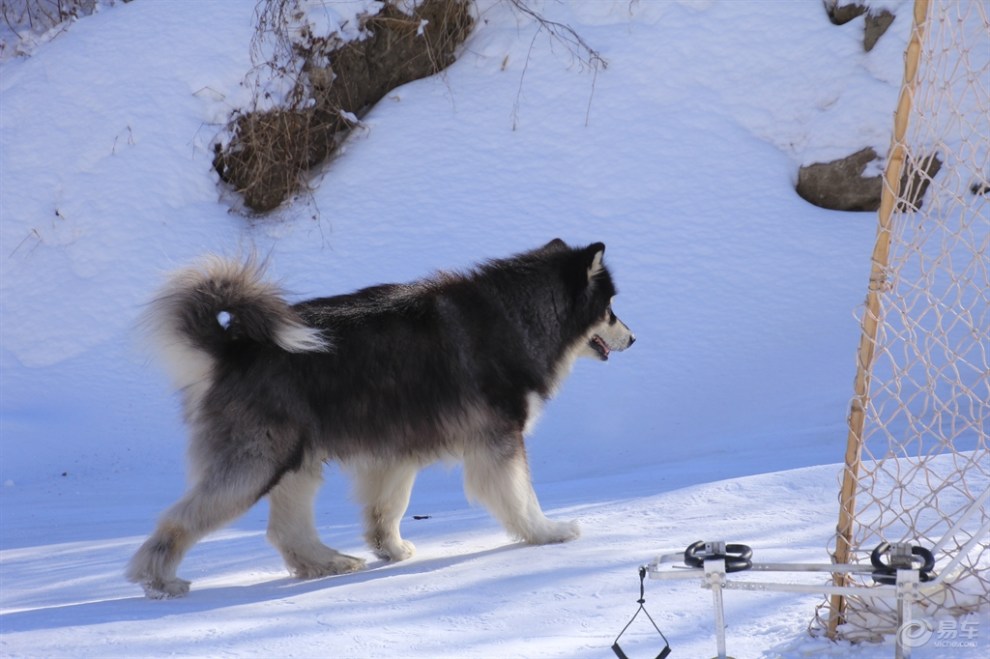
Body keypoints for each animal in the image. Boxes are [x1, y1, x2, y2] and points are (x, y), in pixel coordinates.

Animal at [126, 241, 636, 600]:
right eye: (611, 310)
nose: (633, 337)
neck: (519, 317)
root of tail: (235, 348)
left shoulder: (396, 450)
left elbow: (387, 507)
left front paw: (390, 550)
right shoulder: (499, 444)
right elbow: (522, 499)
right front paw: (549, 533)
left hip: (297, 460)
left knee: (286, 531)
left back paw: (329, 563)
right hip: (257, 463)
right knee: (179, 521)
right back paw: (159, 581)